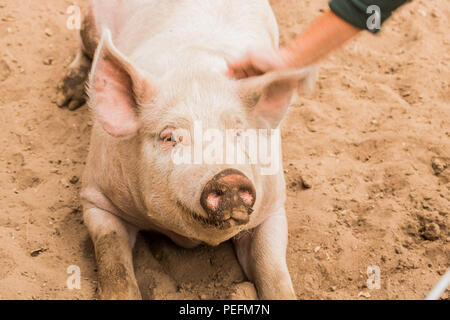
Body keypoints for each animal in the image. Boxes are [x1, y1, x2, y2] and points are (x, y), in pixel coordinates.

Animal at [58, 0, 314, 300]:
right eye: (170, 137)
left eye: (239, 132)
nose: (229, 177)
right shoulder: (96, 196)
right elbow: (114, 261)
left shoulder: (273, 206)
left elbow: (272, 270)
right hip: (91, 19)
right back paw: (66, 99)